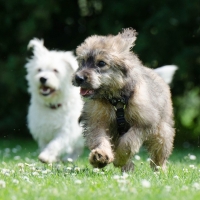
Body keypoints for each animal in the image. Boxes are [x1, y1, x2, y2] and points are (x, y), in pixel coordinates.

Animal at [72, 28, 174, 172]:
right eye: (83, 61)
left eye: (101, 63)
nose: (78, 78)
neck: (115, 100)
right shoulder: (97, 121)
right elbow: (99, 138)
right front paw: (101, 156)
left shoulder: (144, 123)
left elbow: (128, 142)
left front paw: (119, 158)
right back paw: (127, 169)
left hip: (162, 131)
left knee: (159, 153)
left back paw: (159, 171)